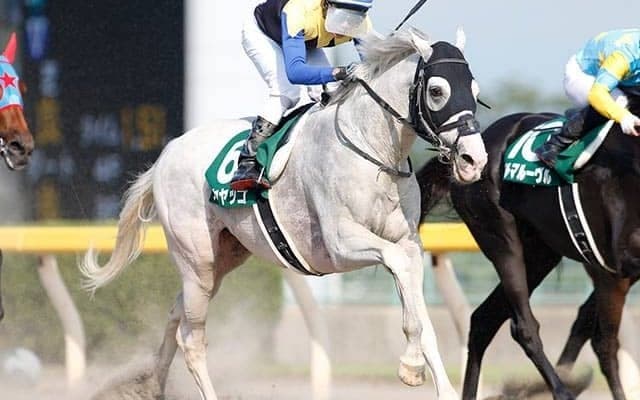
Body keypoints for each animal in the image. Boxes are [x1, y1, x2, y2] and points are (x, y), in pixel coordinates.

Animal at [79, 28, 488, 400]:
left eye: (475, 91)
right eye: (437, 91)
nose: (474, 160)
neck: (371, 151)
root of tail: (165, 155)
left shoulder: (408, 241)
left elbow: (420, 310)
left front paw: (433, 379)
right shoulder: (340, 243)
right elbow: (398, 266)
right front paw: (411, 366)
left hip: (223, 258)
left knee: (176, 314)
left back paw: (149, 386)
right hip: (196, 259)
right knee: (191, 339)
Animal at [417, 93, 640, 400]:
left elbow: (587, 326)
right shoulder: (609, 270)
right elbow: (604, 344)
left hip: (539, 254)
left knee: (483, 320)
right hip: (501, 238)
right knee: (523, 326)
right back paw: (560, 389)